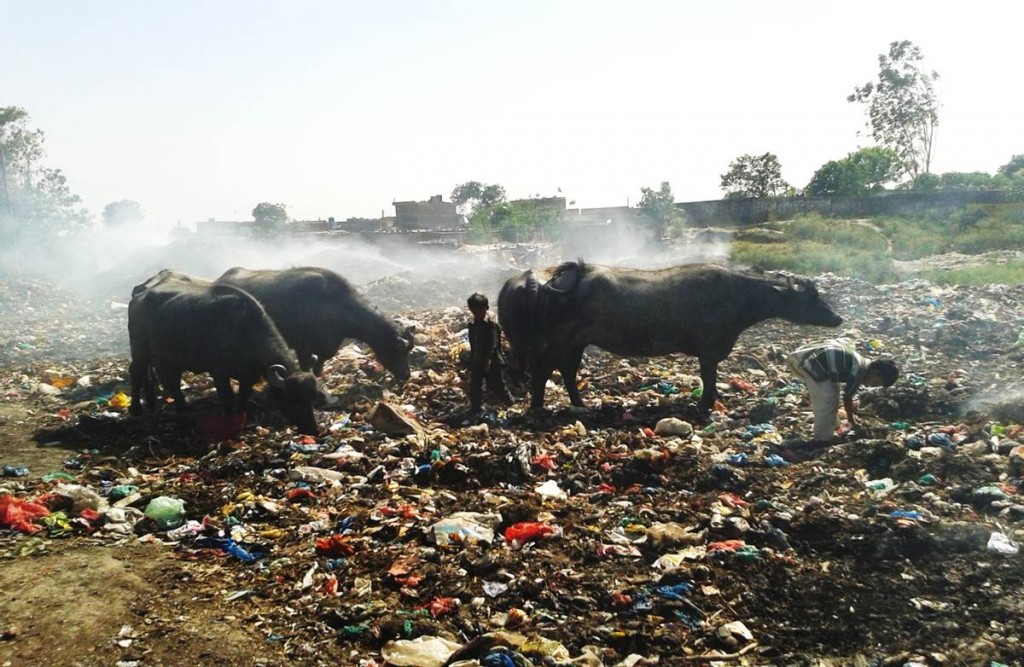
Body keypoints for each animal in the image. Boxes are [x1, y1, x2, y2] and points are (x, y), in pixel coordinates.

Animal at [129, 272, 319, 436]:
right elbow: (227, 398)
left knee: (172, 382)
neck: (244, 331)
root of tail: (139, 297)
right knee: (137, 372)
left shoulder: (248, 376)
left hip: (170, 358)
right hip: (140, 349)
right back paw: (136, 409)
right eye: (293, 399)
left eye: (312, 397)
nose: (312, 429)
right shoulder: (219, 372)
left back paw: (180, 408)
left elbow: (242, 398)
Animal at [215, 266, 411, 381]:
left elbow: (319, 364)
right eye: (400, 350)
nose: (407, 375)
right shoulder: (303, 346)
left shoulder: (326, 347)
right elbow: (306, 366)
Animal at [499, 259, 843, 411]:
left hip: (576, 342)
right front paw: (706, 404)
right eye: (811, 298)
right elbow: (708, 377)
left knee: (567, 372)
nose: (837, 318)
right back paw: (538, 407)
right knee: (543, 370)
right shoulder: (710, 350)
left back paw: (580, 403)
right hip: (559, 341)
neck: (738, 295)